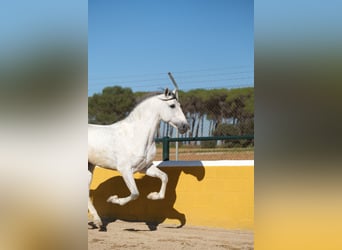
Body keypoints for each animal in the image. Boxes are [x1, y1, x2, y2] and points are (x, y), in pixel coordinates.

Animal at [87, 88, 190, 227]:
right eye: (172, 105)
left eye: (180, 105)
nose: (185, 126)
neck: (136, 135)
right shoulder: (125, 170)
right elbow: (135, 193)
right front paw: (113, 199)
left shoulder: (145, 167)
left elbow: (164, 177)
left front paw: (152, 196)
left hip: (89, 167)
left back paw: (97, 221)